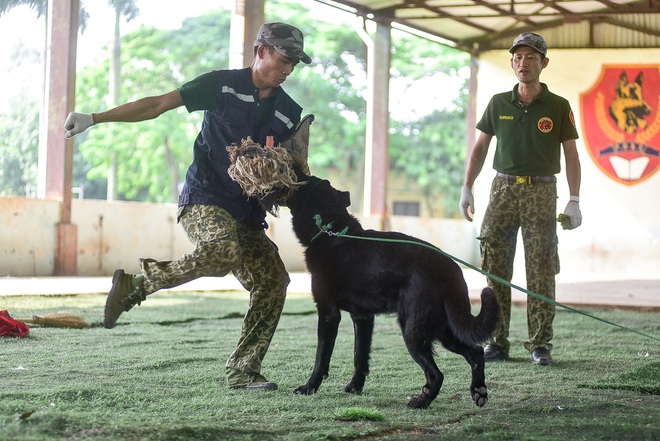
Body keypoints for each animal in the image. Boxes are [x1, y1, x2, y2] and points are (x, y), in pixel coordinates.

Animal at [276, 172, 498, 410]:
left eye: (307, 179)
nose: (293, 168)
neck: (332, 232)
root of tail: (450, 267)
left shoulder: (328, 314)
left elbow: (321, 357)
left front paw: (309, 387)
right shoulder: (362, 317)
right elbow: (360, 355)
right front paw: (355, 387)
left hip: (413, 330)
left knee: (437, 374)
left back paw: (421, 400)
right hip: (443, 329)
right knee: (475, 352)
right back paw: (478, 390)